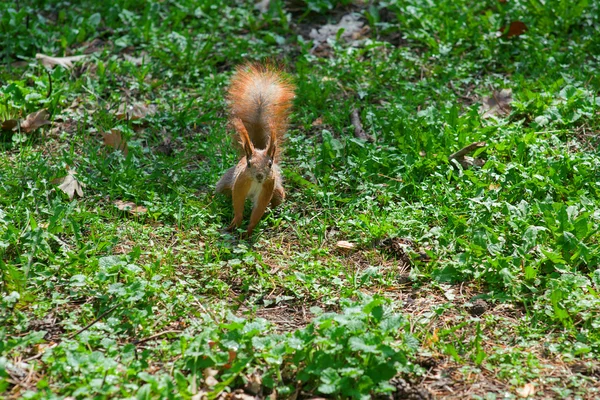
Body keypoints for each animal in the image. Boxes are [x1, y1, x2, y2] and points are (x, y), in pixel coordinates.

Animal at [216, 62, 296, 234]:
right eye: (249, 164)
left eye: (270, 164)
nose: (259, 176)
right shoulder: (240, 183)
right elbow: (238, 202)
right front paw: (237, 222)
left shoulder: (268, 187)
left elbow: (259, 209)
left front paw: (249, 230)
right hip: (226, 181)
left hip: (277, 190)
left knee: (278, 198)